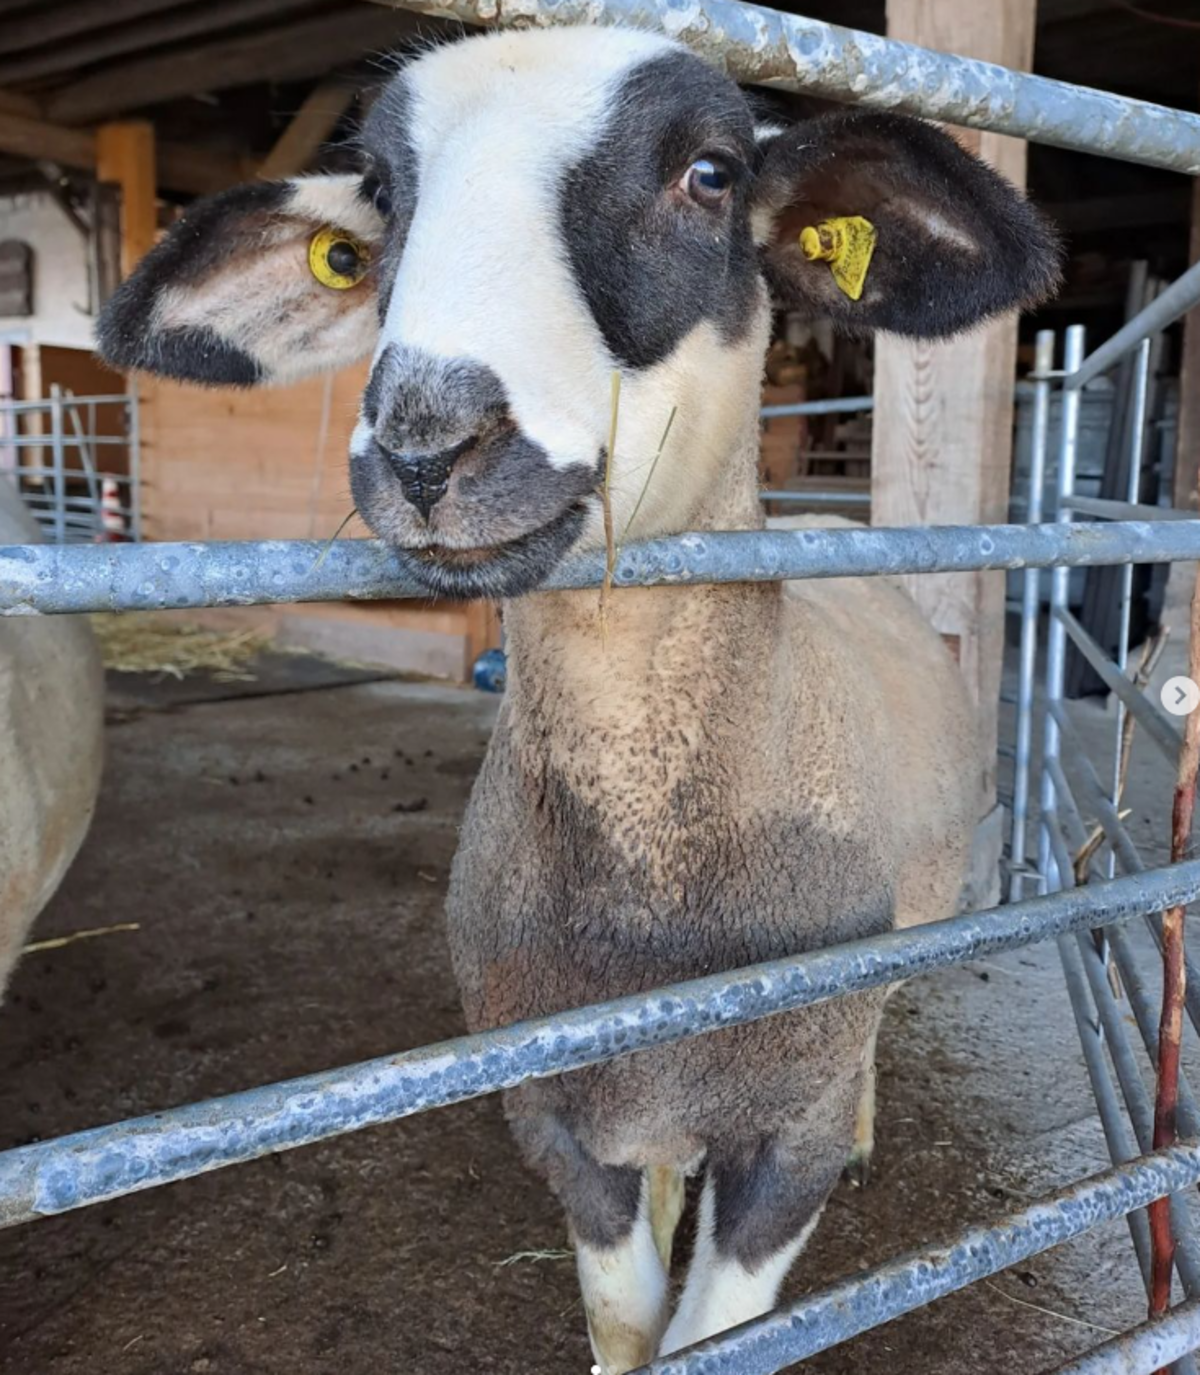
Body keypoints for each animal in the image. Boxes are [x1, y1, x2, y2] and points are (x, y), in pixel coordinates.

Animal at [96, 26, 1055, 1369]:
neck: (653, 895)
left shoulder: (786, 1145)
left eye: (711, 173)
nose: (426, 447)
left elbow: (718, 1325)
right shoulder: (554, 1112)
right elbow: (625, 1312)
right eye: (379, 195)